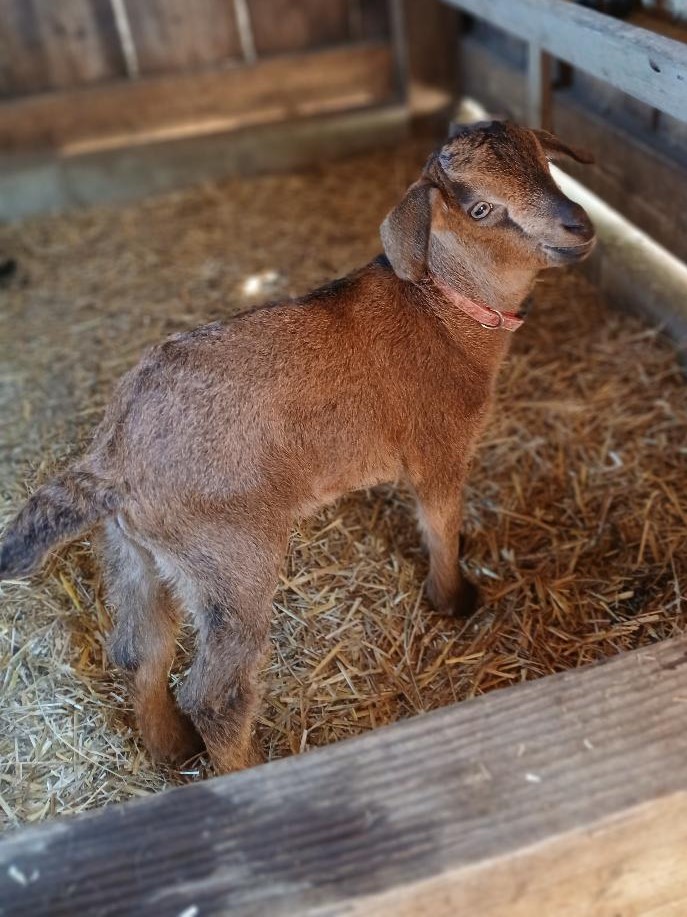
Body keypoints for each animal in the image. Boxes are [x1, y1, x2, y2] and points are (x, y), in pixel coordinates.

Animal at [0, 121, 595, 772]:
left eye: (545, 163)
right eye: (481, 208)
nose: (579, 226)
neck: (441, 311)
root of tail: (112, 463)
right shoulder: (438, 449)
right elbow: (441, 527)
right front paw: (454, 600)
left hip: (133, 551)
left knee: (141, 651)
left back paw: (171, 750)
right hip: (230, 559)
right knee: (216, 694)